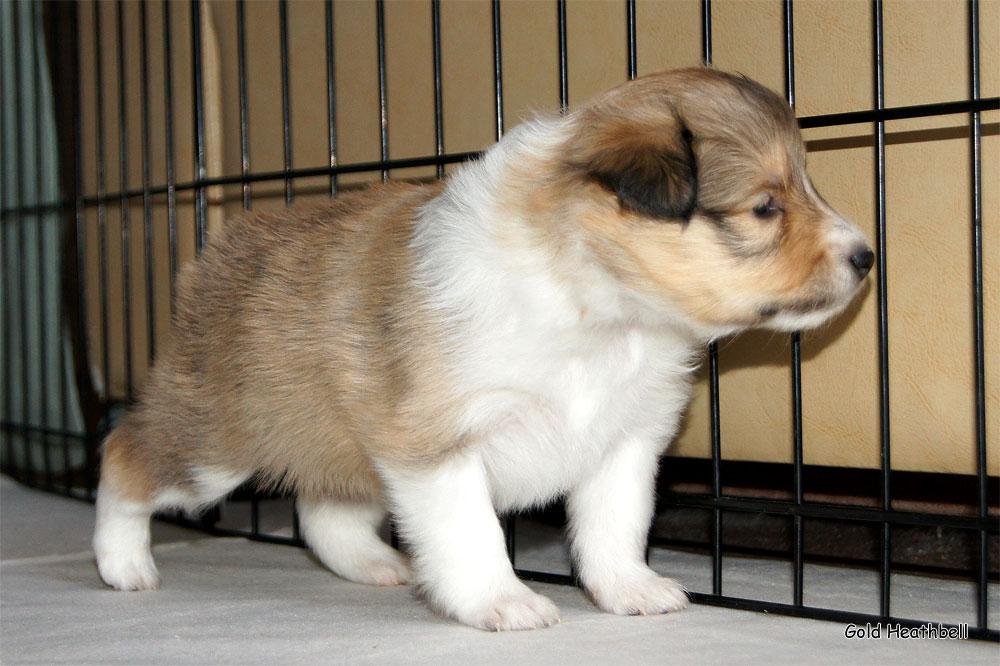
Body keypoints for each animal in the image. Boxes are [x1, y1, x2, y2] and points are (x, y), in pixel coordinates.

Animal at [95, 66, 876, 628]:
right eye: (765, 207)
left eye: (806, 187)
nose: (866, 257)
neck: (600, 313)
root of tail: (215, 251)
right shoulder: (436, 443)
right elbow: (472, 534)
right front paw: (504, 603)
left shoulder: (624, 441)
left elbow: (614, 529)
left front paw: (631, 591)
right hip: (218, 440)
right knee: (124, 454)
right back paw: (123, 567)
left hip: (337, 443)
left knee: (323, 510)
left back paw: (378, 565)